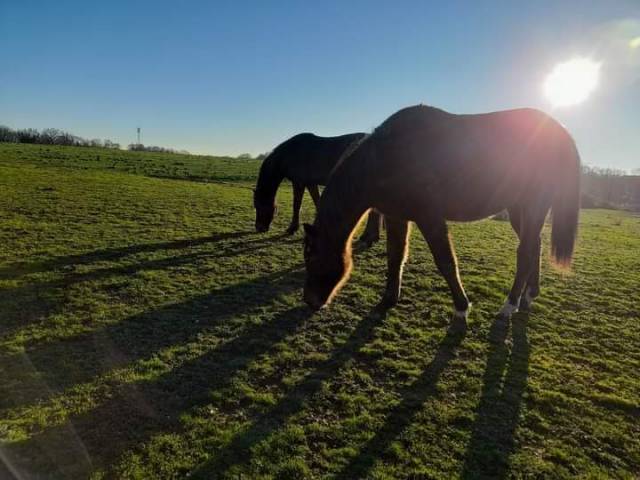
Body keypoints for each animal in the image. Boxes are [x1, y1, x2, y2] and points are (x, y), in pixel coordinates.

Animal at [252, 131, 382, 244]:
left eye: (259, 205)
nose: (259, 228)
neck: (291, 154)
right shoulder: (311, 184)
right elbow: (317, 202)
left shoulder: (298, 183)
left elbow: (296, 205)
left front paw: (292, 228)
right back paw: (371, 236)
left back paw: (368, 237)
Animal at [304, 107, 580, 320]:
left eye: (312, 256)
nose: (310, 301)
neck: (387, 158)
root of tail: (559, 131)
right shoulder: (397, 217)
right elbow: (395, 256)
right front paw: (387, 301)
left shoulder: (430, 217)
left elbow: (445, 261)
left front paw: (462, 307)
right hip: (518, 209)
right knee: (535, 247)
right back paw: (529, 295)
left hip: (534, 205)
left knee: (525, 252)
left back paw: (509, 305)